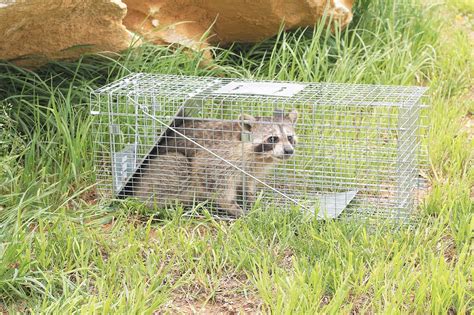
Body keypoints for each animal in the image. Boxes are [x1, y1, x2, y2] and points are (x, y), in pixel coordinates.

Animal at [133, 109, 296, 217]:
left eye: (290, 137)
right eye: (273, 139)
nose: (289, 151)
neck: (260, 157)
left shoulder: (252, 167)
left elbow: (247, 183)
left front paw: (251, 198)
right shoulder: (221, 157)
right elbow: (214, 180)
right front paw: (232, 206)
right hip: (162, 171)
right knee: (177, 163)